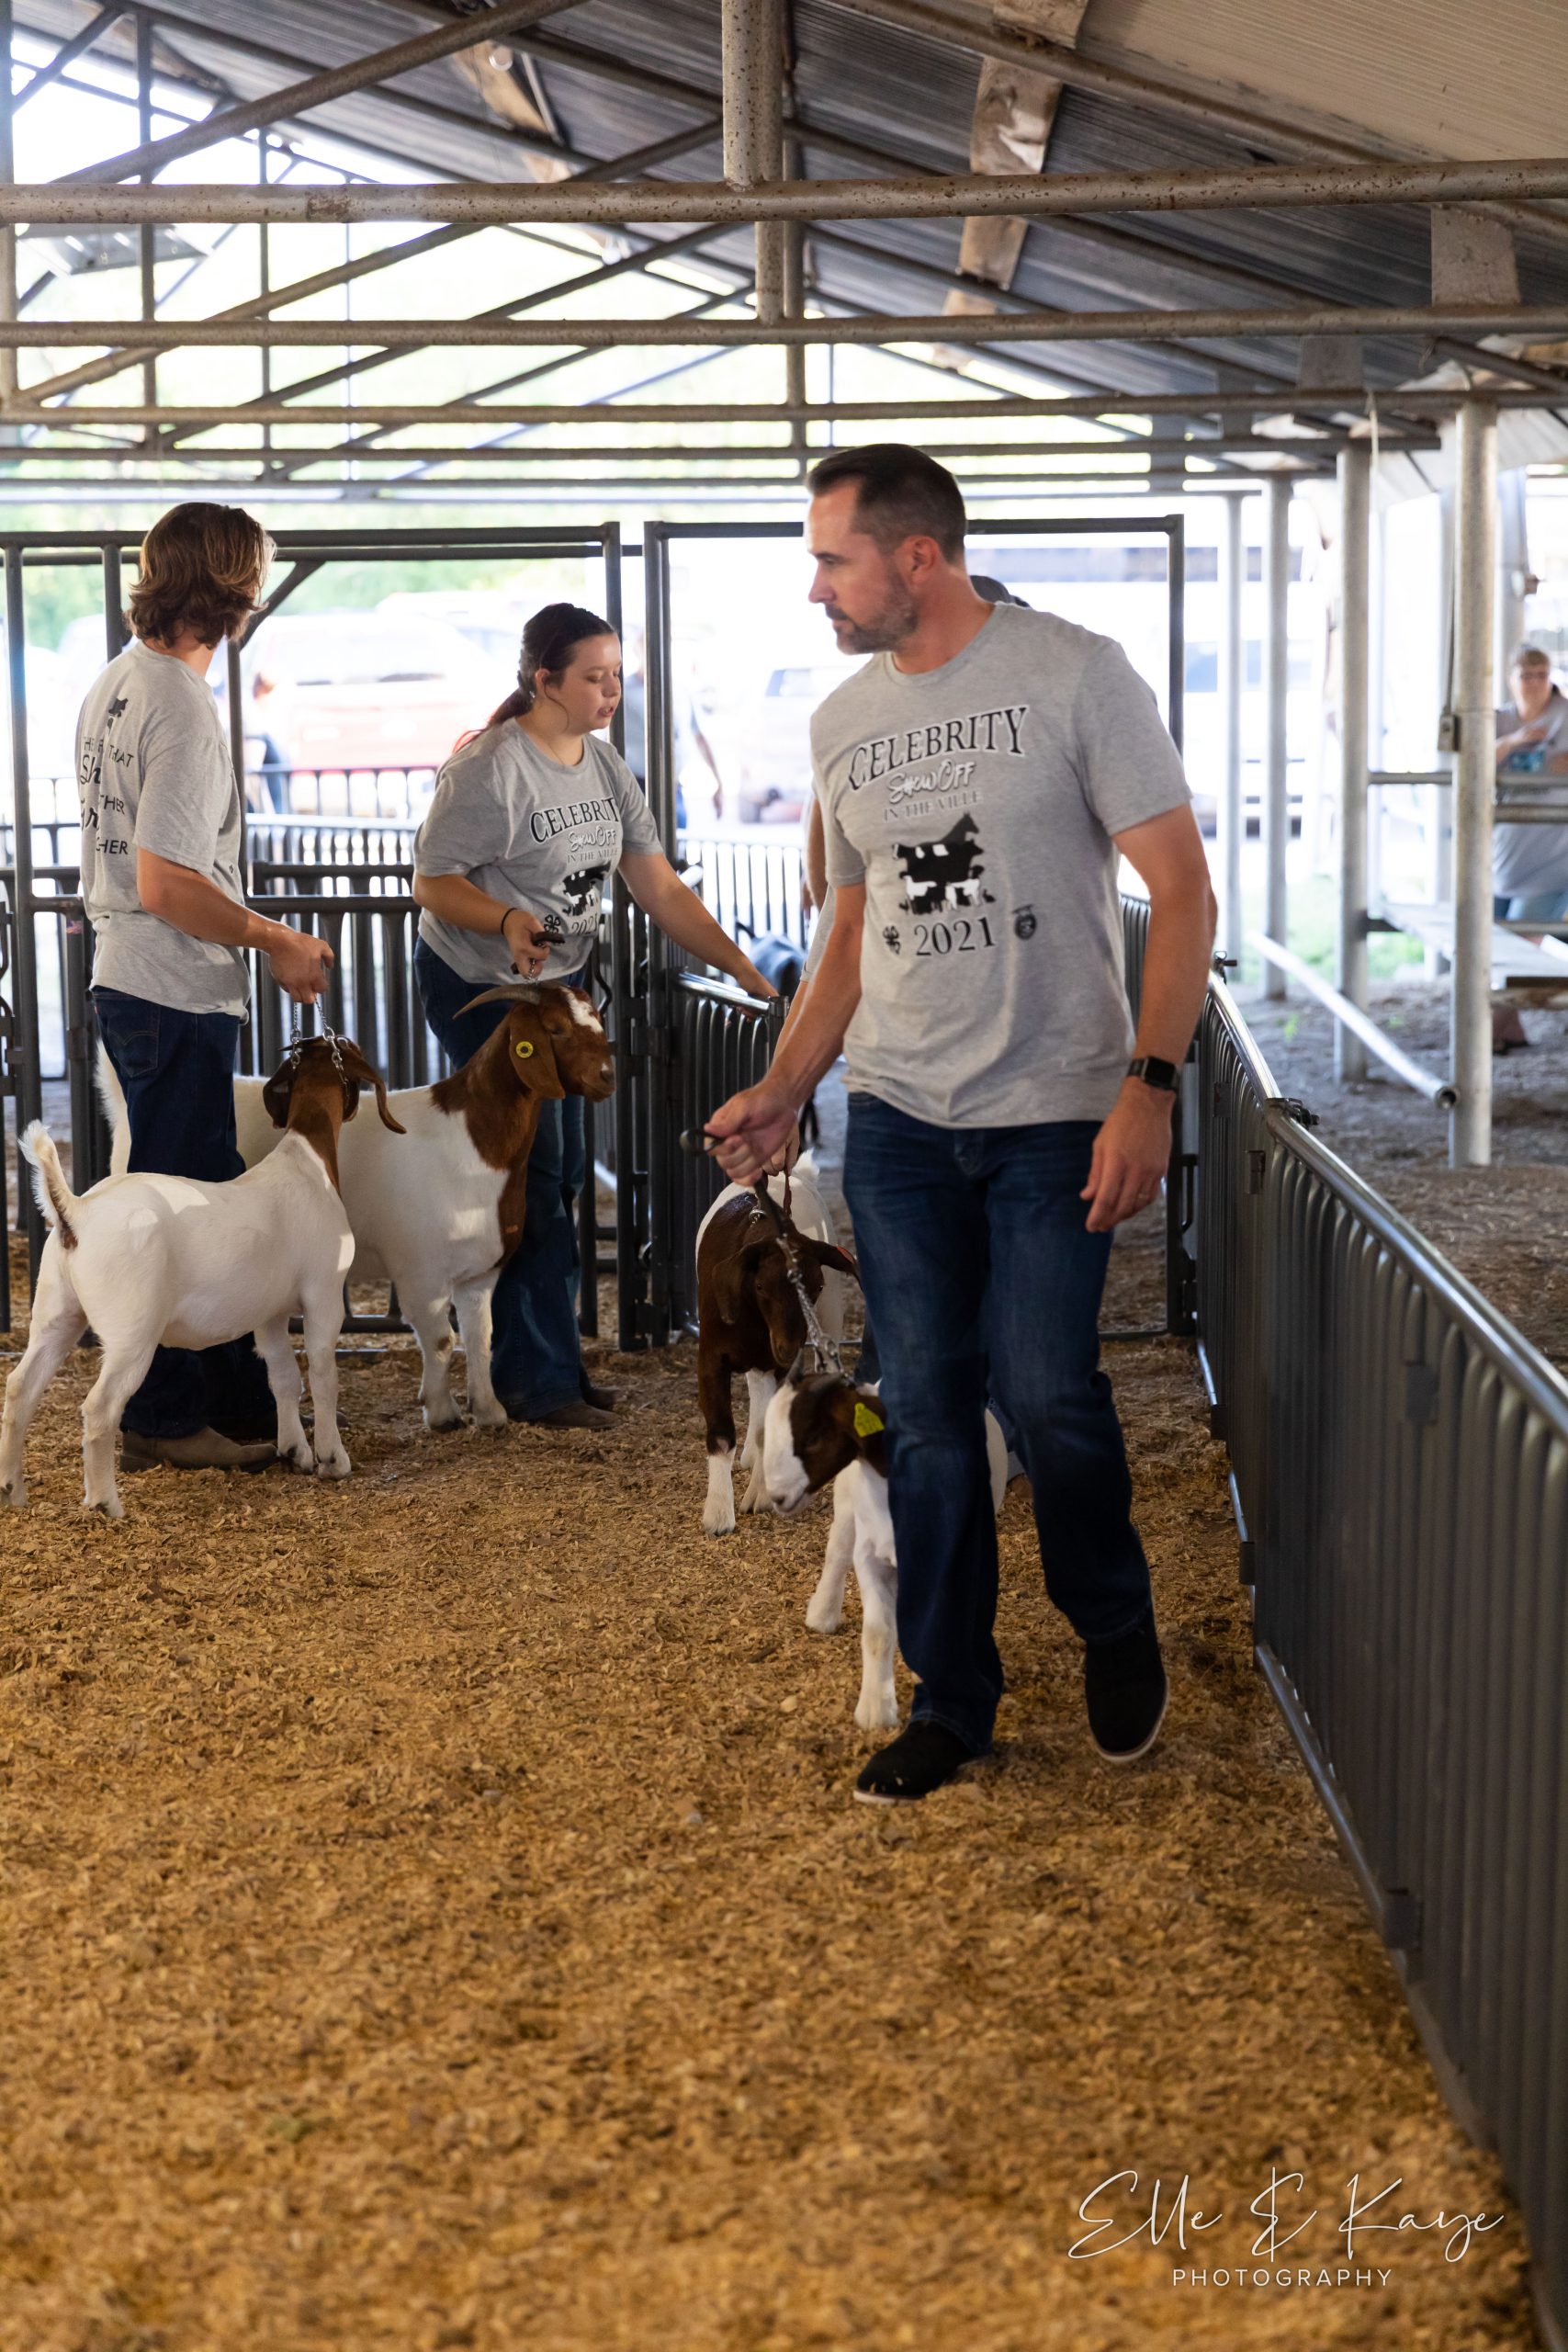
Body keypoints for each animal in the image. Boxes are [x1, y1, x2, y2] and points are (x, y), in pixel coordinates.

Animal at [2, 1036, 403, 1519]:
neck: (306, 1162)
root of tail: (77, 1211)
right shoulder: (324, 1294)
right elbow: (324, 1376)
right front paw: (332, 1458)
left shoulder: (270, 1314)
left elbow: (284, 1377)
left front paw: (295, 1451)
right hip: (132, 1334)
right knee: (99, 1407)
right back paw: (105, 1503)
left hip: (57, 1313)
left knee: (19, 1388)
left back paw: (13, 1490)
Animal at [103, 982, 616, 1433]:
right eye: (554, 1028)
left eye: (598, 1020)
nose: (608, 1077)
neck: (474, 1141)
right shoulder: (420, 1270)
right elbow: (441, 1340)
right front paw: (441, 1412)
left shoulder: (481, 1271)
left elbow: (479, 1340)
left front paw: (488, 1412)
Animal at [694, 1160, 857, 1536]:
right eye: (760, 1286)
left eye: (817, 1285)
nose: (787, 1346)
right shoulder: (711, 1357)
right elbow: (721, 1432)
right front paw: (718, 1515)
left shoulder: (783, 1363)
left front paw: (761, 1496)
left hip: (829, 1319)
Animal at [760, 1371, 1008, 1730]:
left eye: (812, 1438)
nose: (777, 1498)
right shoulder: (870, 1556)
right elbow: (877, 1631)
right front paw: (876, 1710)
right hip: (847, 1503)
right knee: (837, 1551)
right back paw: (822, 1614)